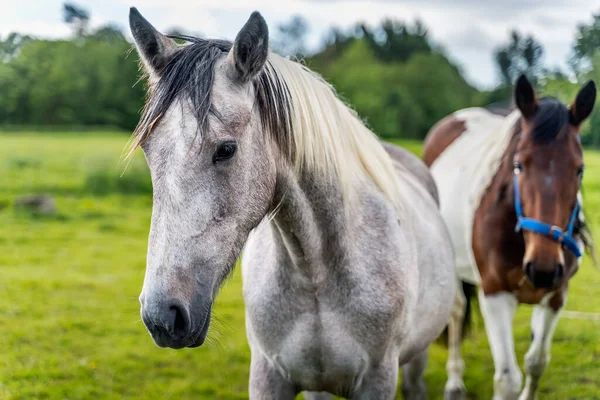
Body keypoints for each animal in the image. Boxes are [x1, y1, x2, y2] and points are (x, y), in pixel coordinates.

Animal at [127, 7, 454, 400]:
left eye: (226, 149)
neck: (314, 272)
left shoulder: (377, 380)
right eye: (149, 150)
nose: (163, 316)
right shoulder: (268, 376)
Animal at [424, 76, 596, 400]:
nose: (542, 268)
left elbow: (536, 363)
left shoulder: (557, 295)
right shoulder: (494, 293)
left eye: (579, 170)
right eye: (519, 165)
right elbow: (507, 380)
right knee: (456, 313)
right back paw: (454, 383)